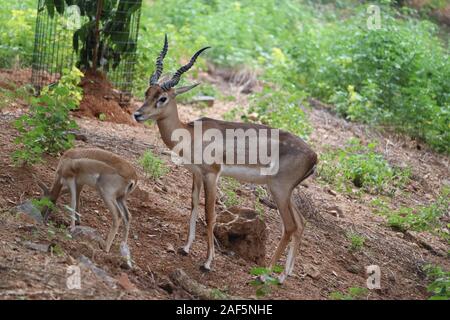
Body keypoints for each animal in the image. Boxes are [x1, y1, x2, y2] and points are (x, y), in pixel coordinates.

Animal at [134, 35, 316, 282]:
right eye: (147, 92)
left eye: (162, 97)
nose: (138, 114)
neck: (190, 133)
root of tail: (314, 157)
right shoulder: (196, 173)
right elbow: (193, 205)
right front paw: (185, 248)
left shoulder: (212, 174)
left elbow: (210, 214)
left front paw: (208, 262)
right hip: (287, 192)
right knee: (301, 223)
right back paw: (281, 277)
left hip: (279, 189)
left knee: (289, 227)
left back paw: (264, 276)